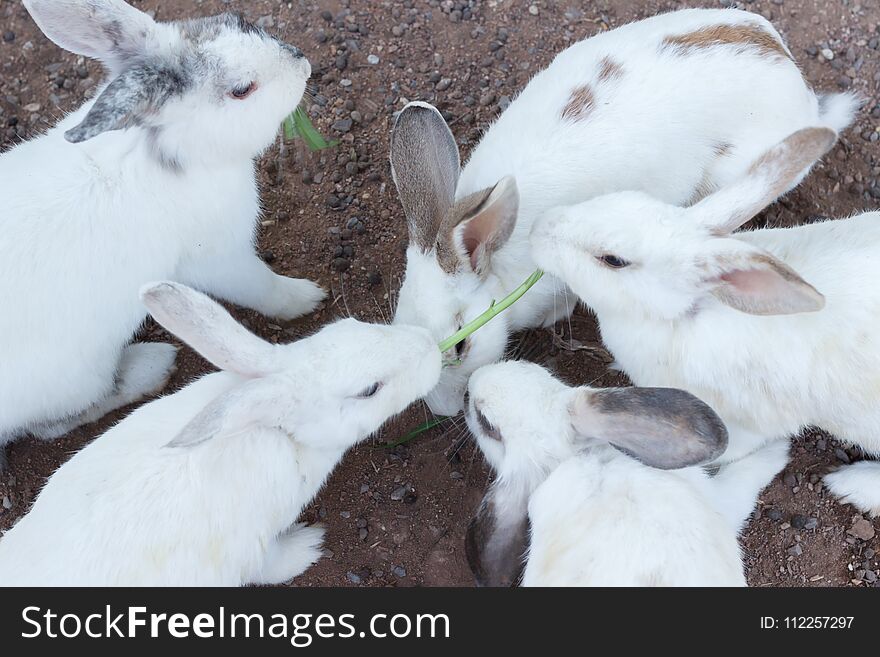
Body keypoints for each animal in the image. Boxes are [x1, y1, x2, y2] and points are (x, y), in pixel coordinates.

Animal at [0, 2, 326, 468]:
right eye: (242, 90)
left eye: (238, 20)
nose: (304, 64)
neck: (161, 150)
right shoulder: (219, 260)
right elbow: (263, 288)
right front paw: (306, 298)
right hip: (75, 377)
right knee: (56, 422)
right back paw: (154, 364)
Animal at [0, 280, 440, 584]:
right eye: (369, 390)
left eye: (350, 322)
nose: (432, 347)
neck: (277, 433)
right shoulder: (251, 547)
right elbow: (270, 566)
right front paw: (309, 545)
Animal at [528, 127, 880, 516]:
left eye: (613, 260)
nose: (538, 227)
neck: (683, 317)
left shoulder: (750, 418)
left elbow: (736, 447)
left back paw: (852, 485)